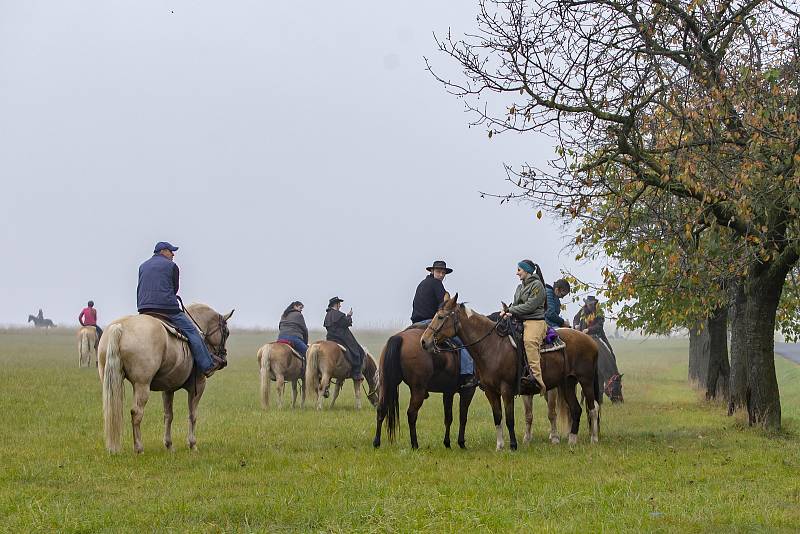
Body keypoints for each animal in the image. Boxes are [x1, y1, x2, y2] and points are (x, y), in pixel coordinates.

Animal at [98, 304, 233, 454]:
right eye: (227, 332)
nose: (223, 360)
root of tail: (120, 327)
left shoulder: (168, 389)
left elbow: (168, 415)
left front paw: (169, 445)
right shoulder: (198, 386)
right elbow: (192, 415)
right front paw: (192, 444)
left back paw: (113, 448)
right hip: (142, 385)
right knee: (136, 413)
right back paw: (139, 448)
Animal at [418, 296, 600, 450]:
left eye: (441, 317)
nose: (424, 341)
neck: (492, 346)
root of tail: (590, 340)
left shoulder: (506, 389)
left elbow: (510, 418)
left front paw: (513, 445)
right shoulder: (491, 391)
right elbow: (498, 417)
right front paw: (500, 446)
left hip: (586, 381)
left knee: (593, 408)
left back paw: (594, 439)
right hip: (568, 383)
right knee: (576, 409)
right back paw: (572, 441)